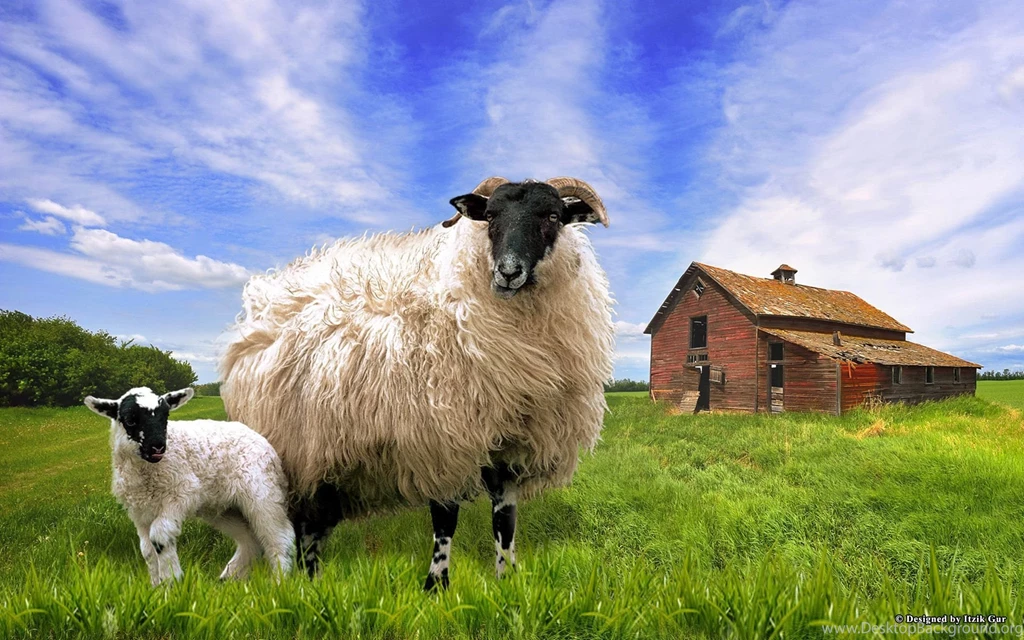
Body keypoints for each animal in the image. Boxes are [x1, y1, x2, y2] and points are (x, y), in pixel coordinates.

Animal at [84, 386, 295, 585]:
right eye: (129, 419)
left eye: (166, 416)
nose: (157, 446)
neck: (146, 474)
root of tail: (263, 440)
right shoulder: (139, 512)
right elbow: (147, 550)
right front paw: (155, 587)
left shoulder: (180, 493)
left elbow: (159, 537)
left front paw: (171, 582)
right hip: (225, 508)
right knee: (249, 540)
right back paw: (227, 579)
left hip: (263, 493)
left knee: (279, 537)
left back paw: (279, 583)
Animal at [219, 177, 615, 589]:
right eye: (490, 216)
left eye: (553, 216)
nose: (507, 272)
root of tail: (263, 300)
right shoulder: (439, 441)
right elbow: (445, 523)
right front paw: (436, 585)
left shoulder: (510, 451)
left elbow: (505, 523)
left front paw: (506, 580)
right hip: (295, 457)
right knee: (297, 528)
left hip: (326, 462)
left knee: (314, 527)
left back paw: (315, 582)